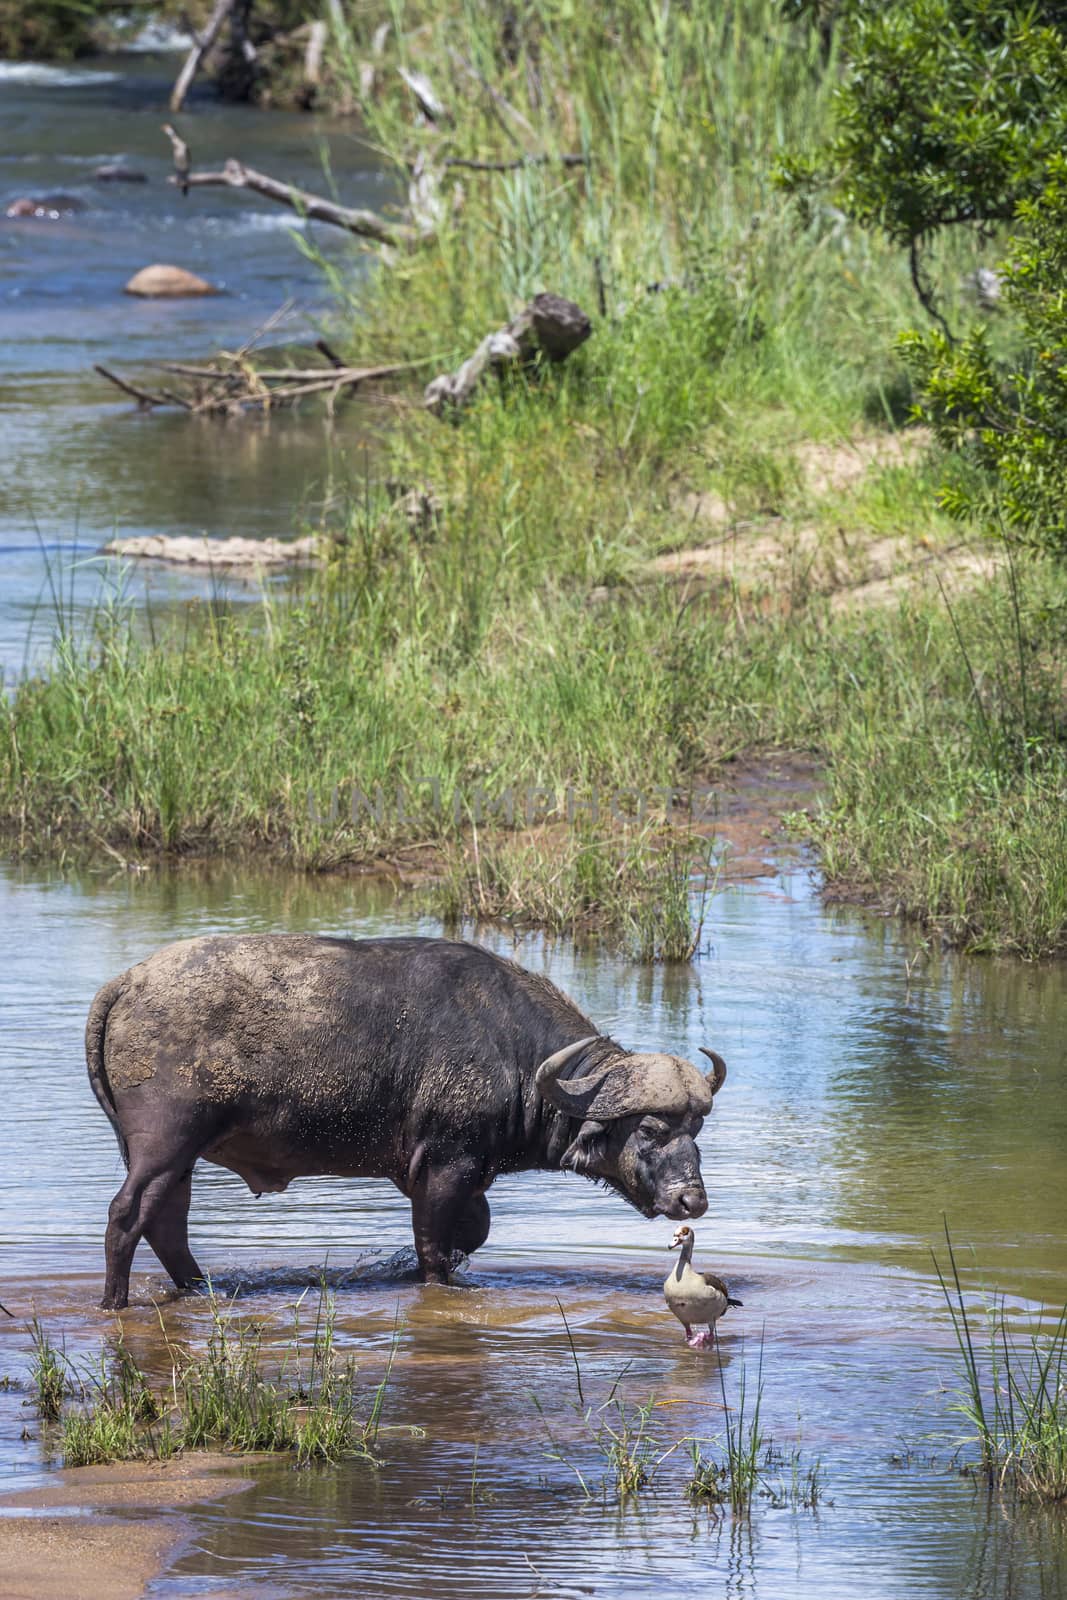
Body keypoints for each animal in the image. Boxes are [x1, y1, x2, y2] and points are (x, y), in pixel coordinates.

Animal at [87, 934, 729, 1305]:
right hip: (166, 1143)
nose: (691, 1200)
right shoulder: (445, 1167)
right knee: (127, 1215)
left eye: (695, 1130)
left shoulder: (465, 1174)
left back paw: (201, 1288)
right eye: (650, 1129)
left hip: (173, 1156)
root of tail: (128, 982)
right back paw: (115, 1301)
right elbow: (434, 1249)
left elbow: (472, 1233)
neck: (515, 1053)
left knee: (166, 1221)